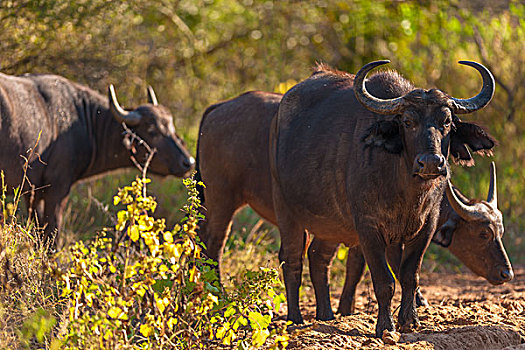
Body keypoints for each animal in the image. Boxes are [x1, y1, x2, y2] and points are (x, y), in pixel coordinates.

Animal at [0, 73, 194, 243]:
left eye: (171, 127)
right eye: (152, 131)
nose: (188, 162)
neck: (84, 121)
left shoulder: (32, 192)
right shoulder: (57, 189)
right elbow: (52, 234)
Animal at [196, 89, 512, 324]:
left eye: (501, 233)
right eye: (483, 234)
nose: (506, 273)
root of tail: (219, 108)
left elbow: (375, 267)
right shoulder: (370, 227)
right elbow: (380, 270)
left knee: (316, 256)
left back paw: (324, 314)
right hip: (228, 200)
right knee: (223, 246)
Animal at [270, 60, 496, 336]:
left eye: (446, 122)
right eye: (407, 121)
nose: (431, 162)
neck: (406, 190)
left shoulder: (425, 227)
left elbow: (409, 275)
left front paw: (410, 321)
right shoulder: (368, 229)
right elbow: (384, 280)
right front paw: (385, 326)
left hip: (331, 226)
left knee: (317, 257)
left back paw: (326, 316)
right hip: (286, 211)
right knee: (291, 259)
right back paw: (295, 319)